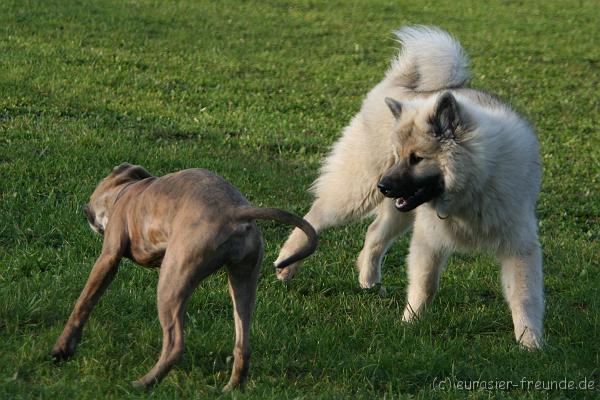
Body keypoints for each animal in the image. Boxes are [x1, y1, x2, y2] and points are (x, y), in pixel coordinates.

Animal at [50, 163, 318, 390]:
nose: (85, 210)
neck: (127, 192)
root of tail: (235, 211)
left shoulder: (108, 257)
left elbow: (83, 303)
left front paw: (62, 348)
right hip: (243, 281)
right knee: (243, 344)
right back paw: (232, 388)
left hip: (171, 281)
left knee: (175, 344)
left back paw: (143, 384)